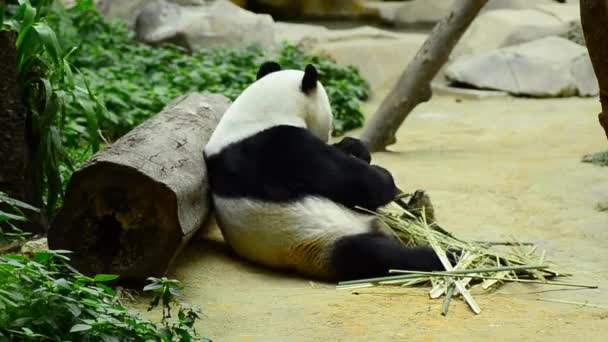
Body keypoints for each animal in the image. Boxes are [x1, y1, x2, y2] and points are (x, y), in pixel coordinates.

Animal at [204, 61, 446, 280]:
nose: (330, 133)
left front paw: (353, 146)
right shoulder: (281, 148)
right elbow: (361, 186)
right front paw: (386, 179)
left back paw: (422, 210)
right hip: (322, 240)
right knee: (373, 255)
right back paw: (444, 256)